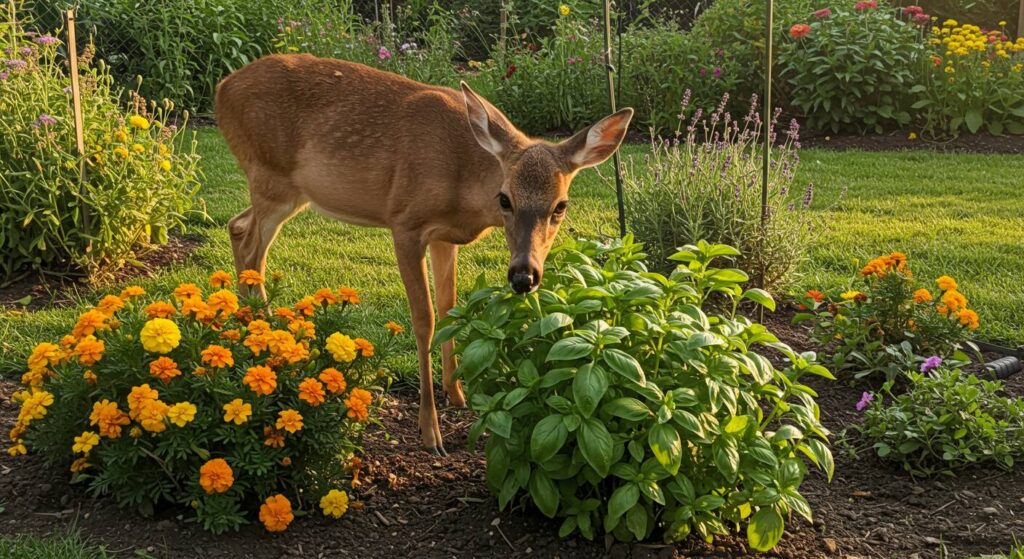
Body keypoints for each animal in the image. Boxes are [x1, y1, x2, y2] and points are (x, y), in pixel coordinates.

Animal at [214, 53, 630, 452]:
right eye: (505, 199)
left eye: (561, 206)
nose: (523, 276)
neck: (465, 185)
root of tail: (222, 88)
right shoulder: (406, 224)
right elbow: (424, 319)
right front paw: (431, 433)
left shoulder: (444, 237)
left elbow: (449, 308)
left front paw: (458, 395)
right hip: (270, 176)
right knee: (252, 248)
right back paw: (265, 334)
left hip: (290, 191)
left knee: (237, 227)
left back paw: (257, 330)